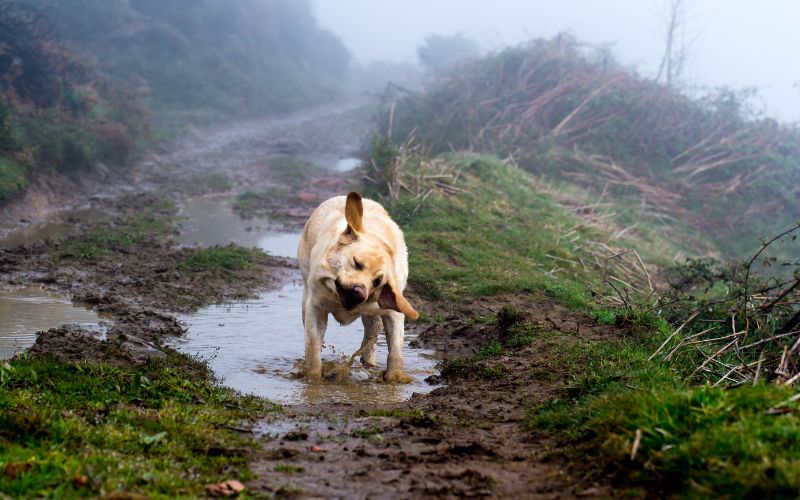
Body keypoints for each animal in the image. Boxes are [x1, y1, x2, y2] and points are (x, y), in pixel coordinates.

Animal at [296, 193, 418, 380]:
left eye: (377, 281)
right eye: (356, 262)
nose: (360, 291)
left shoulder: (393, 313)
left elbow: (396, 351)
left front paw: (395, 378)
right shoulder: (315, 306)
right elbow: (313, 348)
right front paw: (312, 378)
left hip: (374, 318)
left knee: (372, 333)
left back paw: (369, 361)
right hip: (305, 297)